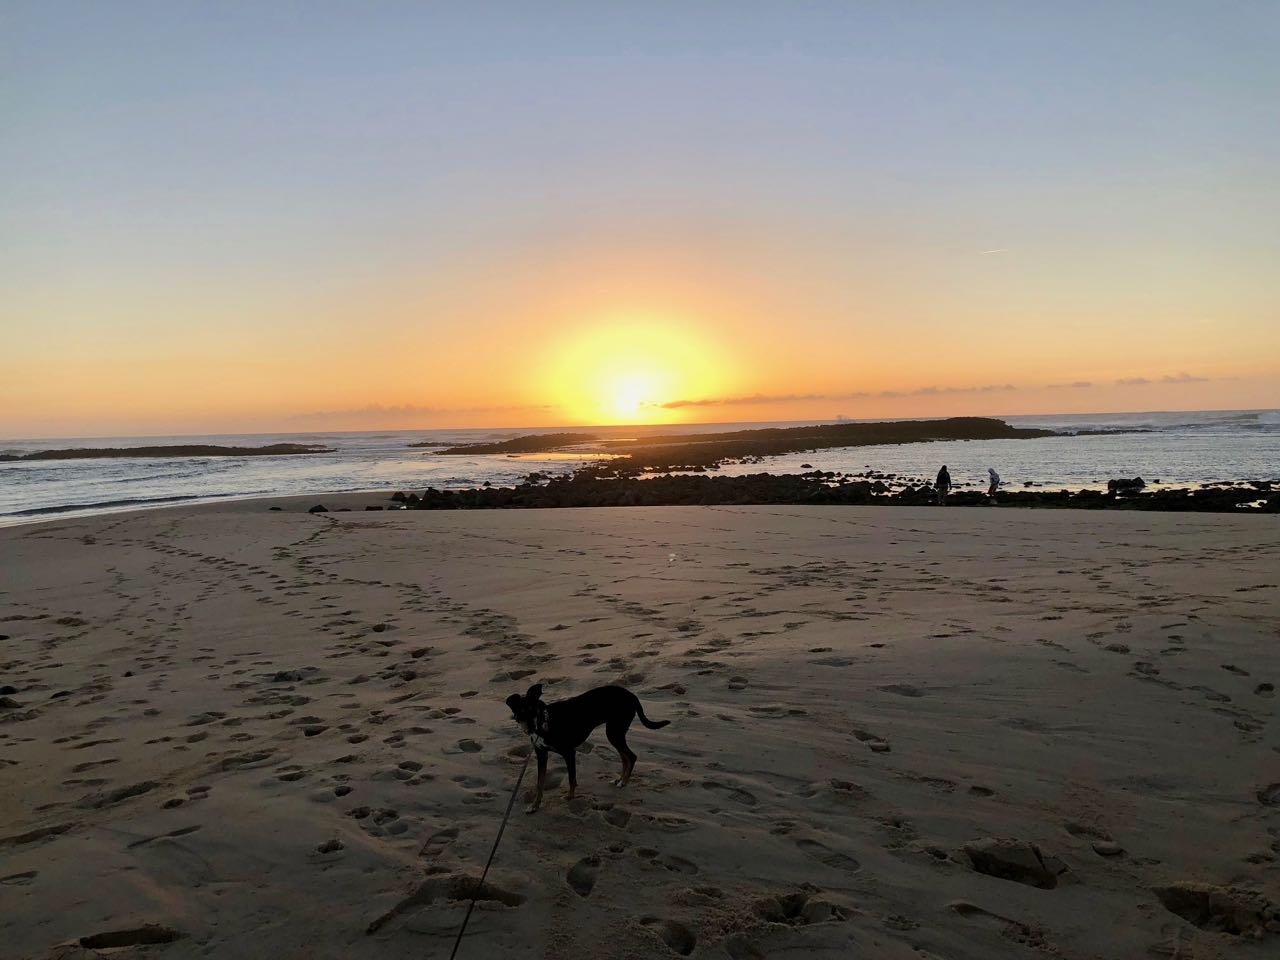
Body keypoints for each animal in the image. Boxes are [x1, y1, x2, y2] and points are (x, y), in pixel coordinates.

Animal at [506, 686, 675, 814]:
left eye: (533, 710)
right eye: (521, 712)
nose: (531, 728)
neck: (545, 722)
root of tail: (632, 695)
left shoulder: (569, 753)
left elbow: (571, 779)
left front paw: (570, 798)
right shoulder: (541, 755)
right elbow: (540, 782)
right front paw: (535, 805)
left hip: (614, 731)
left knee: (631, 756)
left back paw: (623, 782)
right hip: (615, 732)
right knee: (625, 757)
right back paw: (620, 779)